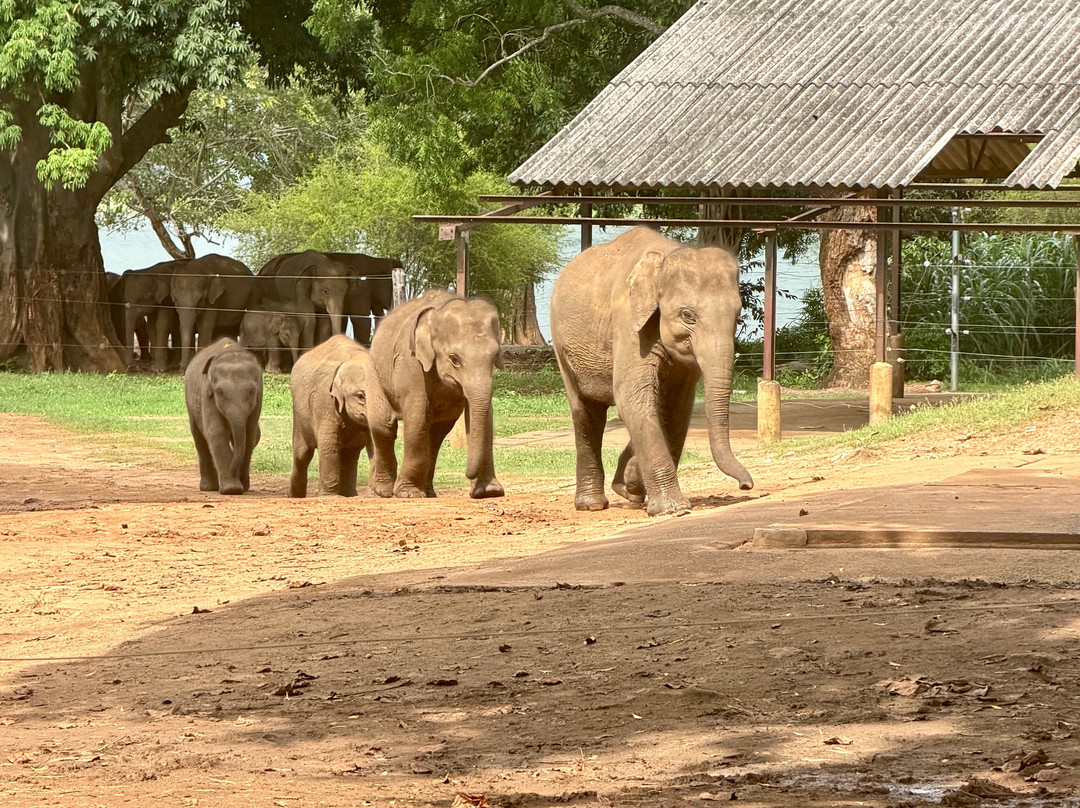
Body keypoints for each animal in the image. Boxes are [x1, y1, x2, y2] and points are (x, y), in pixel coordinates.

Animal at [183, 338, 263, 495]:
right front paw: (232, 489)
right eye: (219, 392)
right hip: (191, 407)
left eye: (251, 392)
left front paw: (241, 486)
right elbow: (217, 432)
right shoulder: (207, 393)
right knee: (199, 439)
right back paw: (208, 488)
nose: (234, 470)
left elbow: (249, 436)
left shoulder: (259, 398)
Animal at [289, 335, 373, 497]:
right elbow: (328, 443)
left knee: (350, 454)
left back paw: (350, 495)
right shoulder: (324, 400)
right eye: (361, 396)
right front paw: (329, 496)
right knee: (302, 454)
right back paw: (295, 497)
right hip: (299, 413)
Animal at [366, 288, 504, 500]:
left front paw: (490, 492)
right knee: (383, 426)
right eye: (454, 358)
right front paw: (408, 494)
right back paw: (384, 491)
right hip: (375, 374)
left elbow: (485, 417)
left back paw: (428, 492)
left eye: (494, 356)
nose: (467, 474)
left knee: (437, 432)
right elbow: (416, 416)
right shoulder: (410, 362)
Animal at [550, 226, 753, 516]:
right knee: (586, 412)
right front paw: (672, 509)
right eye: (687, 315)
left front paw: (632, 482)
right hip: (561, 344)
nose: (746, 486)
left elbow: (677, 407)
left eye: (737, 315)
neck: (666, 256)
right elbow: (632, 398)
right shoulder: (627, 320)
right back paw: (591, 506)